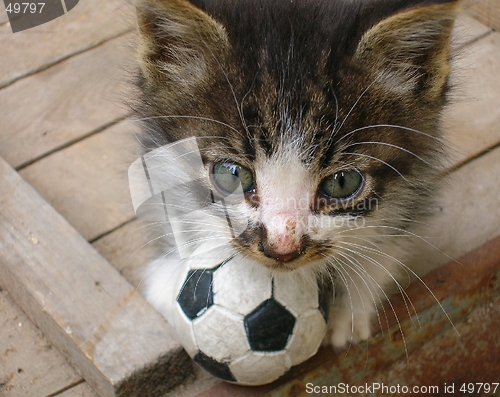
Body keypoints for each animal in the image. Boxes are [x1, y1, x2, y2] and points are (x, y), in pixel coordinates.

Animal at [132, 0, 458, 348]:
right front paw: (171, 275)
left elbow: (391, 230)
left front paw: (350, 309)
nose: (282, 250)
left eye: (342, 182)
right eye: (231, 175)